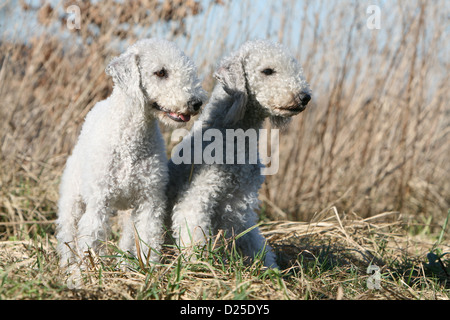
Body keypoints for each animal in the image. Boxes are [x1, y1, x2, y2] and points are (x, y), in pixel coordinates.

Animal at [56, 38, 206, 272]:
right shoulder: (99, 202)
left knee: (127, 238)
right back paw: (68, 264)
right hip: (73, 198)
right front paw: (89, 271)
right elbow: (91, 237)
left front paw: (149, 270)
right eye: (160, 72)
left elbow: (147, 238)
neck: (131, 141)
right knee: (68, 231)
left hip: (128, 210)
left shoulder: (149, 202)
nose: (196, 102)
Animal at [167, 40, 312, 268]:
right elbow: (194, 237)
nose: (305, 97)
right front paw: (200, 267)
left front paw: (270, 270)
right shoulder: (196, 200)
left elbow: (255, 243)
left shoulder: (240, 205)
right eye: (267, 71)